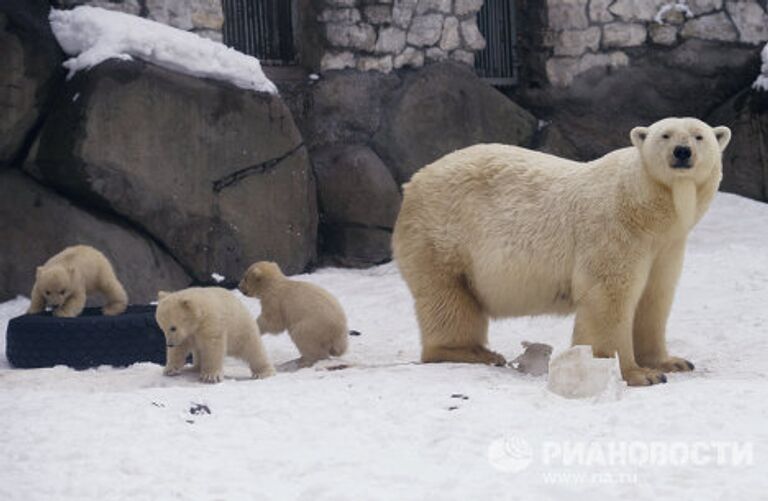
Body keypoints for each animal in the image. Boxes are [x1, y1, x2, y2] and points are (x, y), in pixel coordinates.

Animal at [396, 118, 732, 386]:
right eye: (665, 135)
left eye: (698, 135)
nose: (682, 151)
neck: (643, 209)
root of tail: (414, 181)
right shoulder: (614, 230)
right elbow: (609, 297)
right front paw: (637, 374)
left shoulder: (666, 246)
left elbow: (654, 298)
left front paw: (671, 362)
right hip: (444, 236)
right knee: (448, 298)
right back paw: (474, 352)